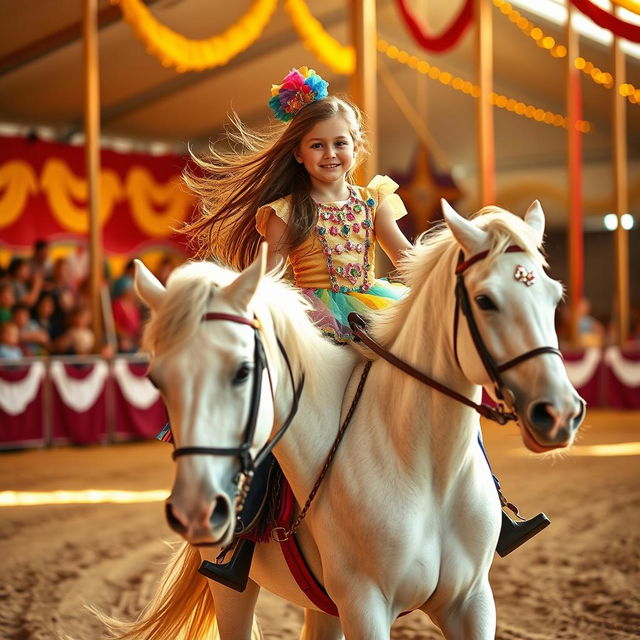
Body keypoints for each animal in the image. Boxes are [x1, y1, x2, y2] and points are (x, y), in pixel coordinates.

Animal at [107, 202, 584, 640]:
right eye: (485, 300)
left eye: (554, 297)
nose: (558, 412)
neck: (427, 469)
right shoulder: (365, 603)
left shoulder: (471, 601)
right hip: (233, 589)